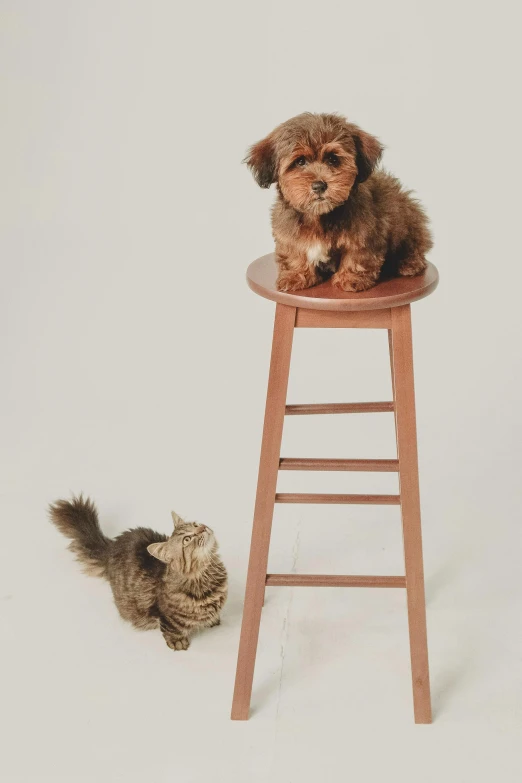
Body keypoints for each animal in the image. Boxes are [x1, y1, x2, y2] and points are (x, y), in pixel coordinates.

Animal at [48, 496, 225, 648]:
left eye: (195, 524)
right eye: (187, 539)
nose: (202, 527)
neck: (206, 575)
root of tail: (112, 547)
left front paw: (213, 620)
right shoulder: (163, 615)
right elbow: (170, 630)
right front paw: (178, 642)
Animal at [244, 112, 430, 292]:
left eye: (333, 159)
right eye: (300, 161)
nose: (319, 185)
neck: (320, 216)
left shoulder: (365, 233)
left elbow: (357, 255)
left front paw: (351, 278)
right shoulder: (288, 232)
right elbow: (295, 253)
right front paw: (295, 275)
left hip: (409, 222)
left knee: (414, 245)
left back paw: (409, 264)